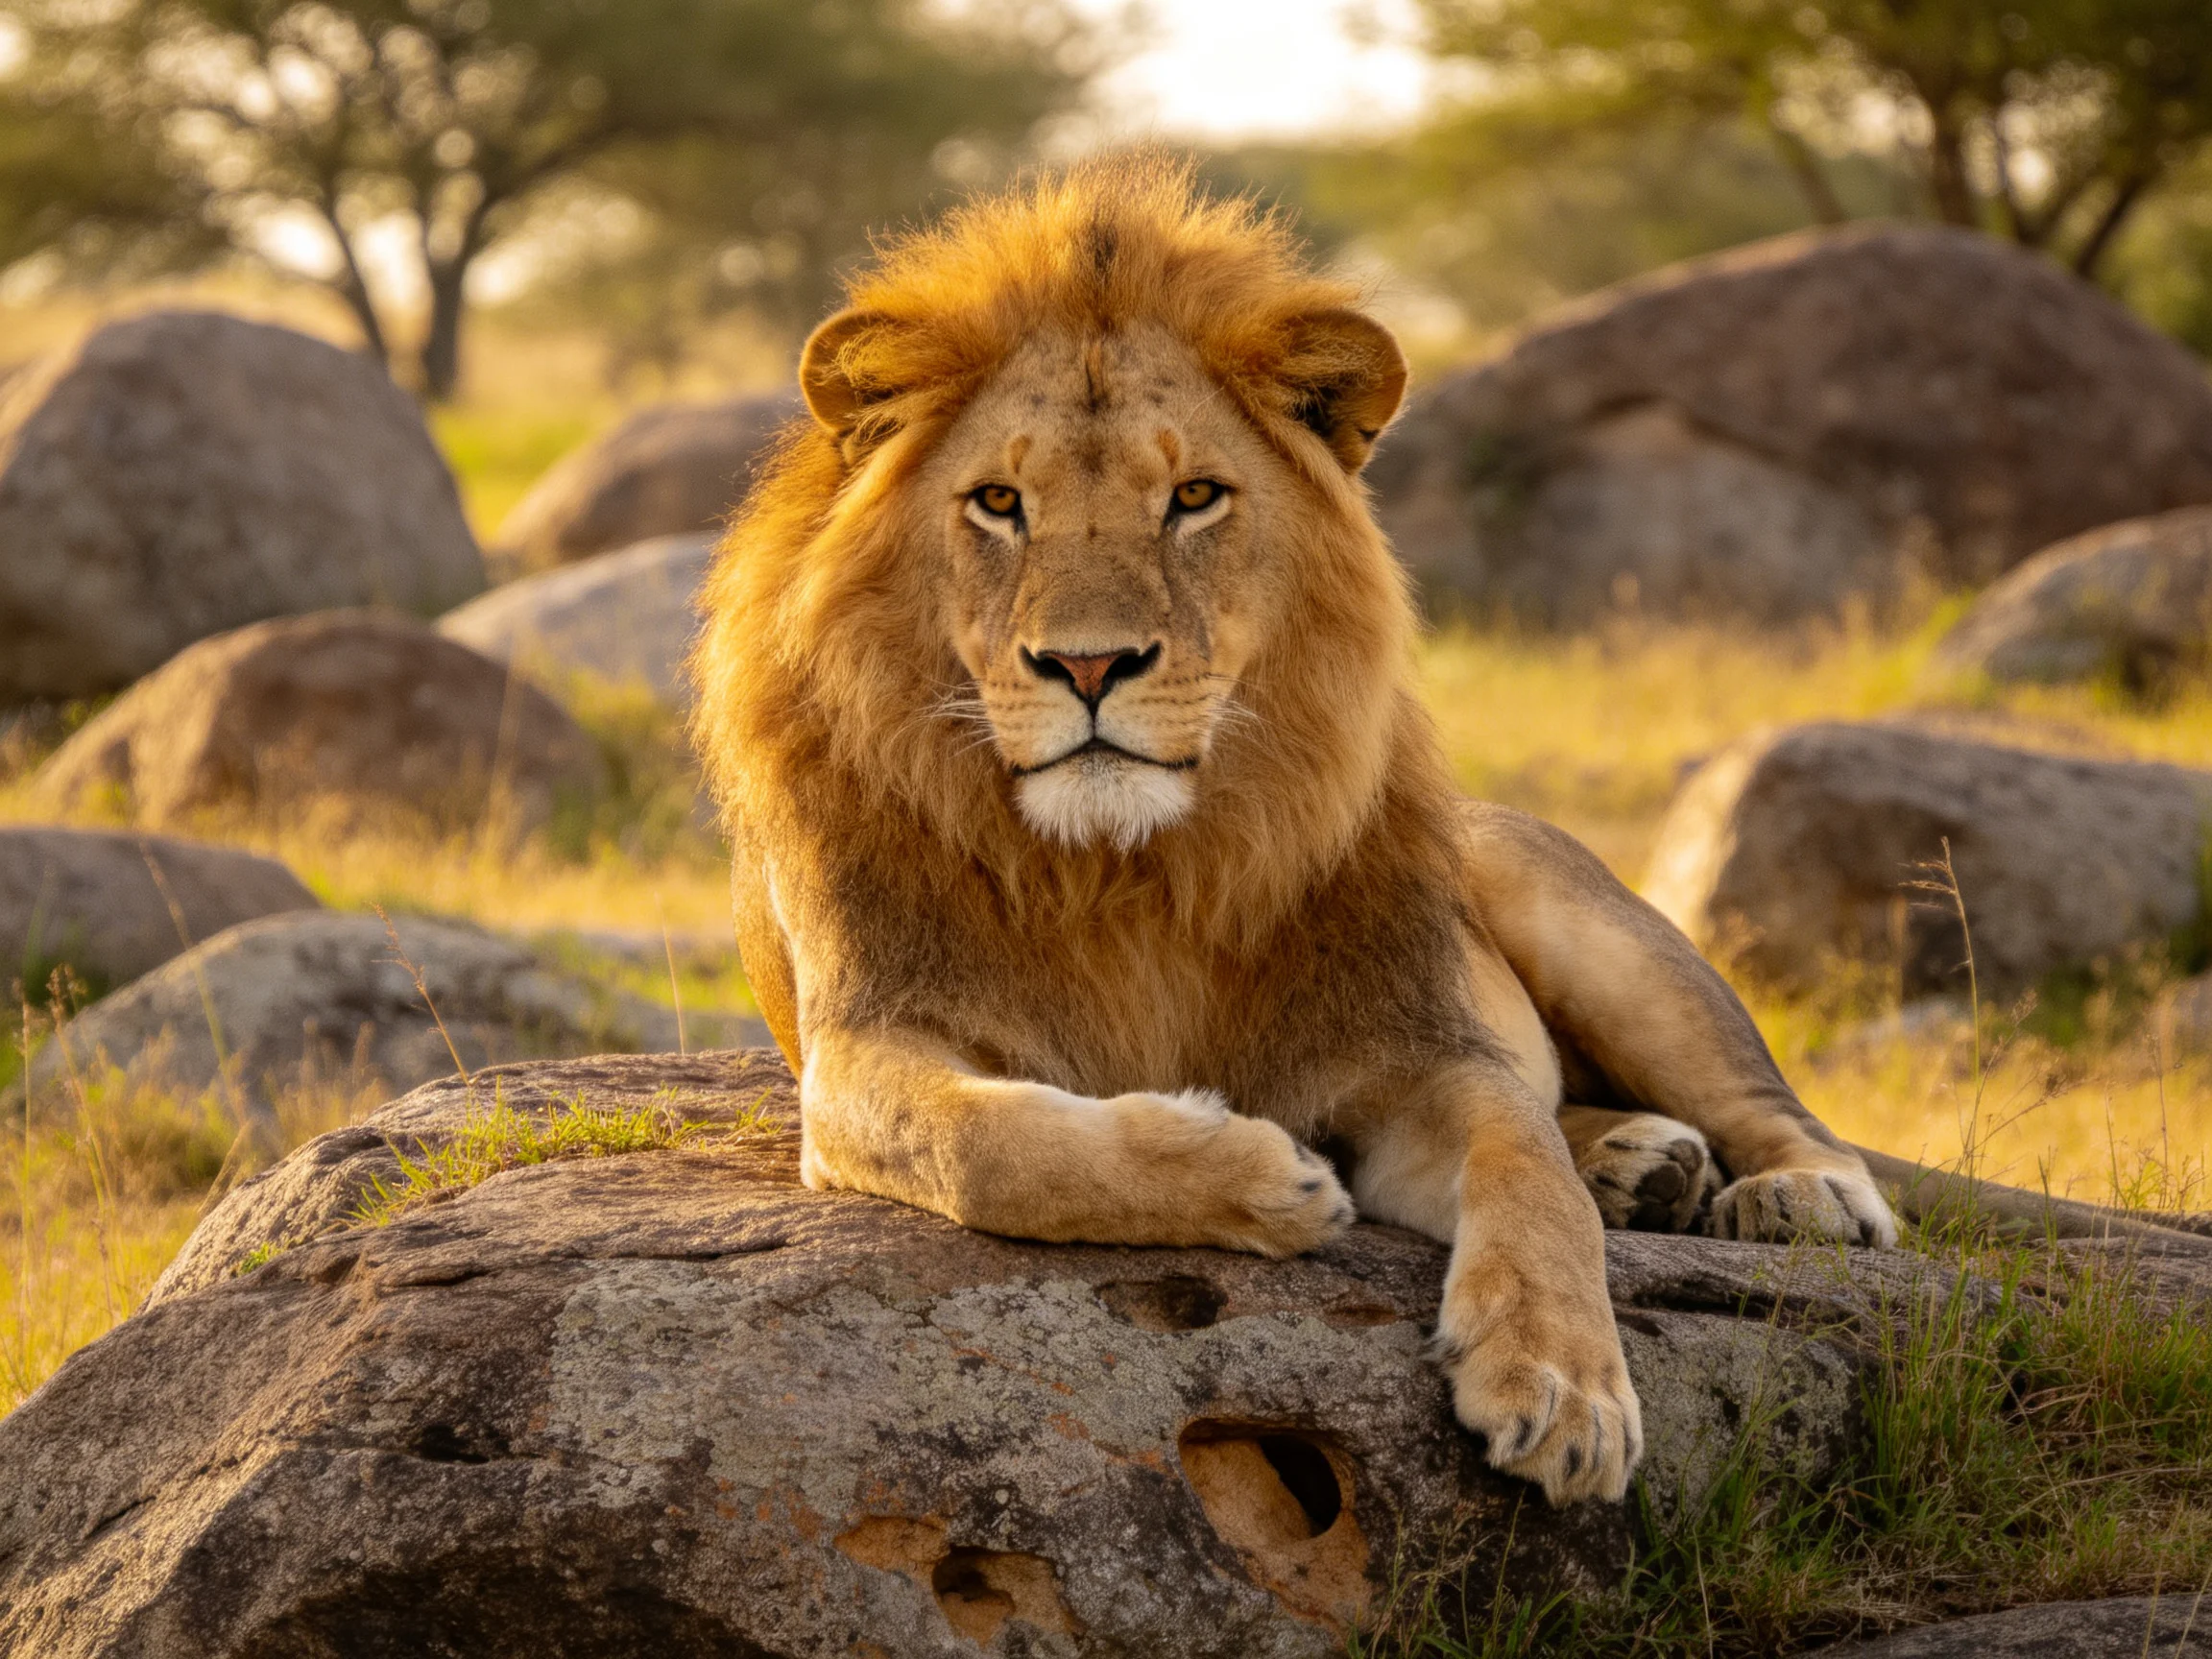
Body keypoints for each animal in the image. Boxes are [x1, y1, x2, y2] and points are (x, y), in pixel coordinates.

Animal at [690, 156, 1897, 1507]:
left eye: (1194, 499)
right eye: (999, 502)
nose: (1090, 665)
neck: (1127, 871)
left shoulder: (1413, 1048)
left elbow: (1525, 1168)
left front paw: (1563, 1382)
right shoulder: (863, 1048)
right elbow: (988, 1143)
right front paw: (1264, 1178)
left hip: (1592, 931)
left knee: (1764, 1103)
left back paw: (1792, 1192)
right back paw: (1644, 1161)